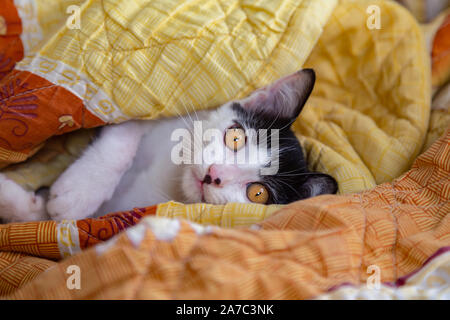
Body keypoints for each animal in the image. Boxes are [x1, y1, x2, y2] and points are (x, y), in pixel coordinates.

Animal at [0, 68, 338, 221]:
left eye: (258, 193)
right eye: (236, 137)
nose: (215, 174)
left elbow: (40, 220)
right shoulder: (157, 116)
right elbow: (126, 131)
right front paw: (83, 188)